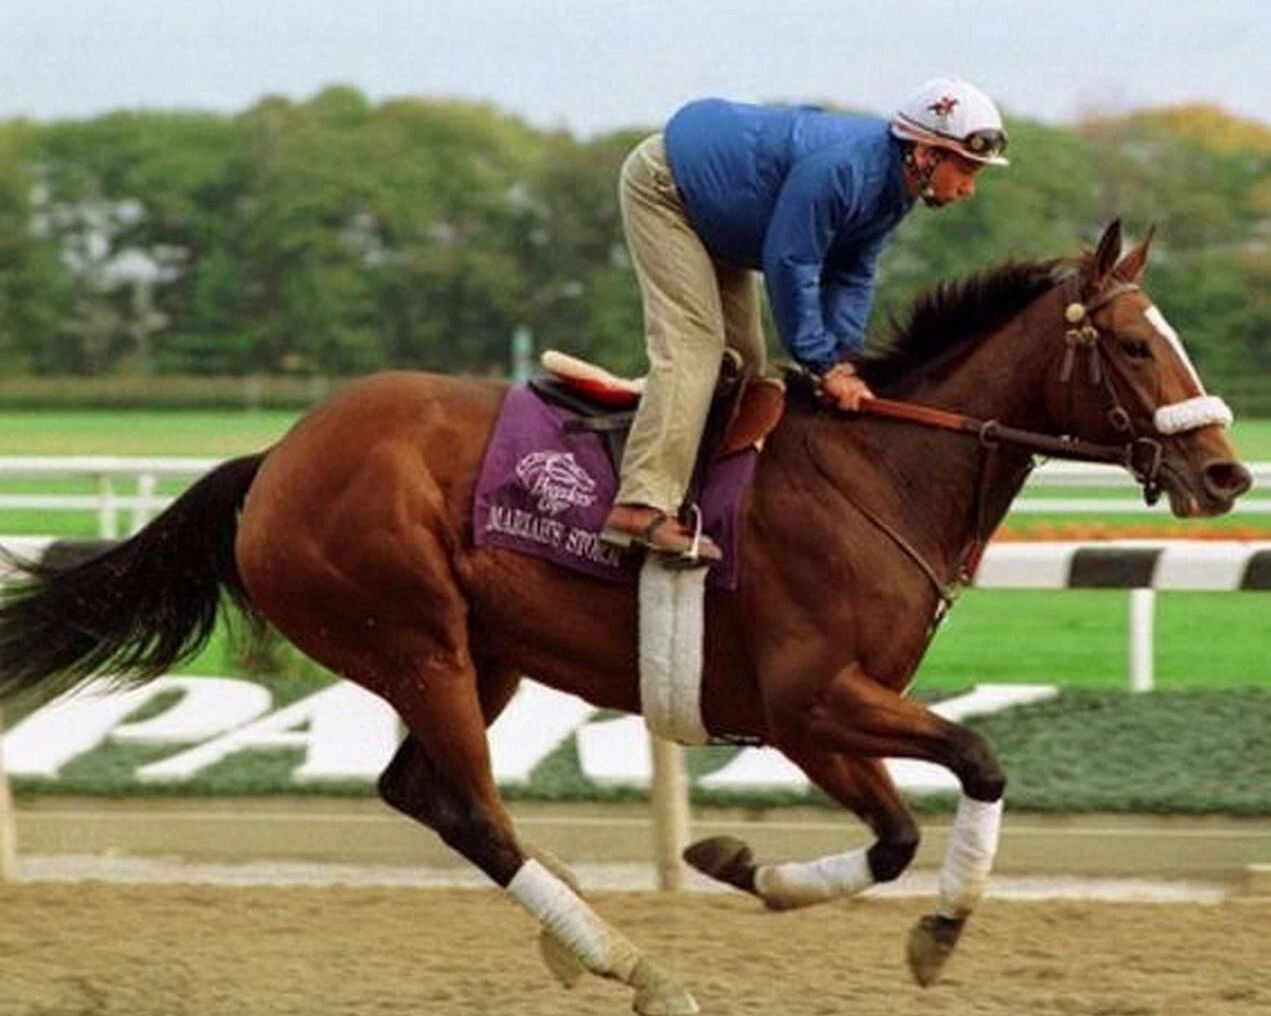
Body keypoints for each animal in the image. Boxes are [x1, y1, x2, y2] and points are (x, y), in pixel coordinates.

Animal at [0, 221, 1251, 1015]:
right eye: (1132, 343)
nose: (1226, 473)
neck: (880, 468)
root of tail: (275, 459)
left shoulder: (818, 714)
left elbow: (895, 832)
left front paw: (737, 858)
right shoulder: (811, 697)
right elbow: (976, 762)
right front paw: (935, 932)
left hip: (482, 653)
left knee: (422, 792)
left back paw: (577, 944)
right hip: (415, 636)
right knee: (475, 810)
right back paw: (629, 962)